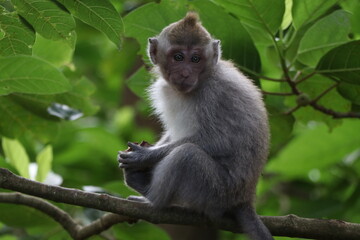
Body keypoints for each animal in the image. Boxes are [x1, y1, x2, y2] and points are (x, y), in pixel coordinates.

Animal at [118, 11, 272, 240]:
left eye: (196, 59)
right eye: (178, 57)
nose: (185, 73)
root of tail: (246, 199)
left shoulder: (214, 94)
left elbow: (219, 141)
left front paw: (144, 157)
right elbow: (171, 133)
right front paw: (147, 155)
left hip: (217, 192)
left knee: (187, 155)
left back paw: (152, 199)